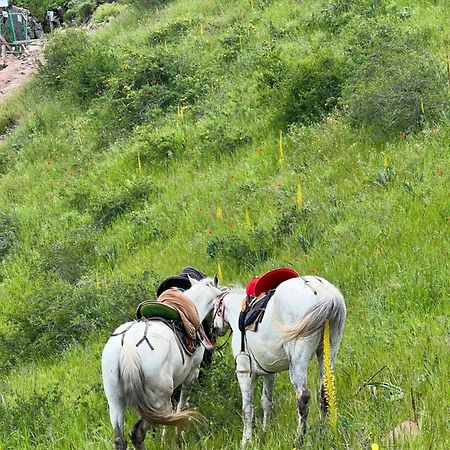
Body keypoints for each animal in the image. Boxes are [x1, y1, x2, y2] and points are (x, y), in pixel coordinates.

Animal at [102, 276, 221, 448]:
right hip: (155, 399)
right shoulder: (191, 374)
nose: (215, 330)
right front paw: (175, 437)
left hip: (115, 399)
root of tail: (130, 347)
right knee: (138, 433)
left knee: (120, 439)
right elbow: (180, 407)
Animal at [213, 274, 346, 446]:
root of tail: (325, 294)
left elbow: (247, 409)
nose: (215, 329)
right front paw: (265, 430)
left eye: (214, 307)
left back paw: (299, 438)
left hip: (298, 358)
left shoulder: (244, 373)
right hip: (329, 350)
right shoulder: (269, 373)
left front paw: (246, 440)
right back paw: (324, 432)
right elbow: (266, 402)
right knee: (324, 392)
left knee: (303, 396)